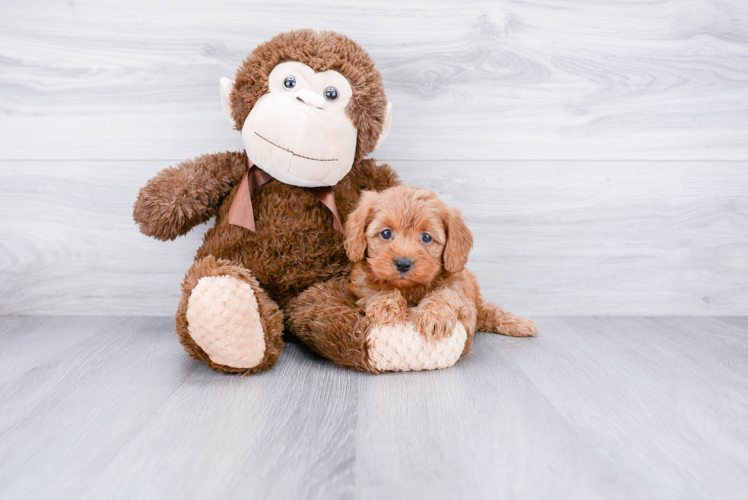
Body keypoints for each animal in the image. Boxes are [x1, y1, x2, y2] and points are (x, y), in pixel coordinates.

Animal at [344, 186, 536, 346]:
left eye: (426, 237)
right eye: (386, 233)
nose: (403, 263)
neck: (410, 288)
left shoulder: (458, 287)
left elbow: (445, 294)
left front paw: (435, 316)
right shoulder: (360, 283)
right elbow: (375, 288)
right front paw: (387, 305)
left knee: (489, 311)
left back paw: (521, 324)